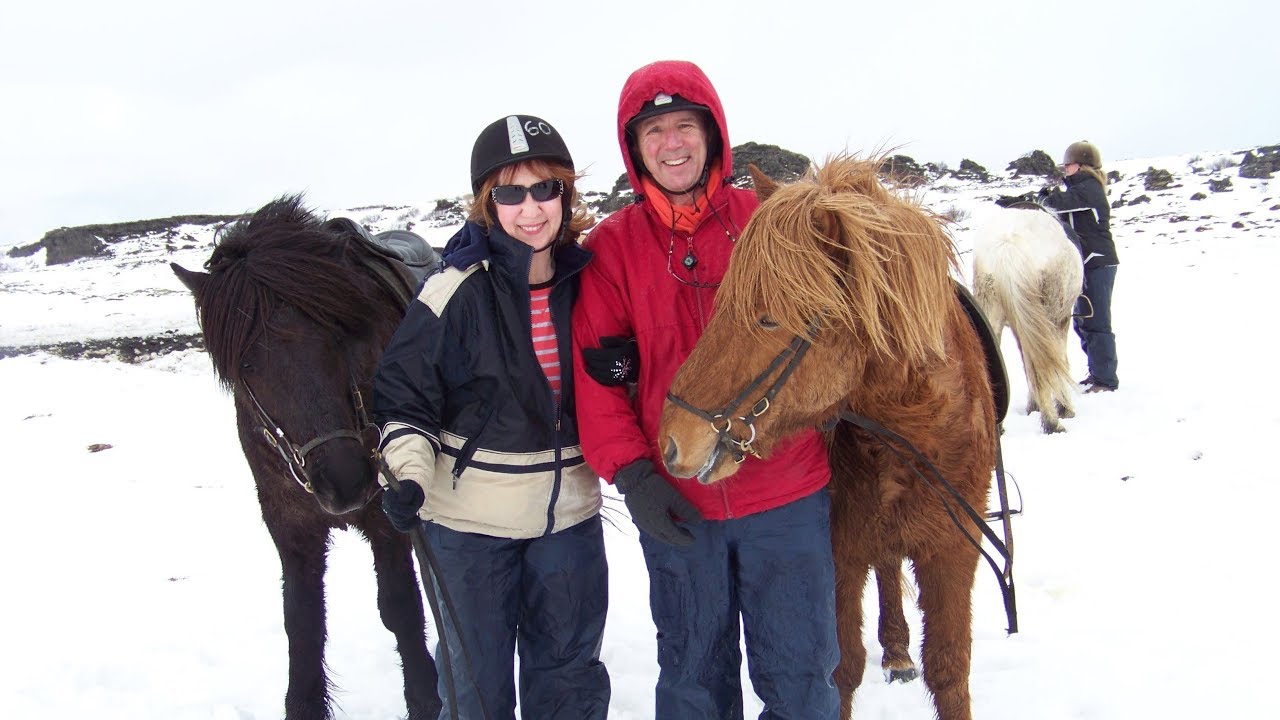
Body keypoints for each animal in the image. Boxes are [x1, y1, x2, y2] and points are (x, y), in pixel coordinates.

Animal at [170, 196, 442, 717]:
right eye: (248, 364)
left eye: (338, 337)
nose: (345, 481)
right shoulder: (290, 526)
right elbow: (302, 622)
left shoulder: (386, 516)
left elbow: (399, 607)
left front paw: (426, 696)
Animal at [660, 158, 998, 717]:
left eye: (769, 316)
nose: (671, 439)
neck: (912, 432)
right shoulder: (841, 553)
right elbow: (843, 669)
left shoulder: (954, 552)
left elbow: (950, 670)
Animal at [972, 206, 1085, 430]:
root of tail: (1008, 248)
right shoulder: (1061, 319)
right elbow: (1057, 361)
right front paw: (1064, 408)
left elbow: (1027, 362)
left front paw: (1033, 406)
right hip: (1048, 313)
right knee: (1044, 364)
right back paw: (1052, 423)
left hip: (992, 309)